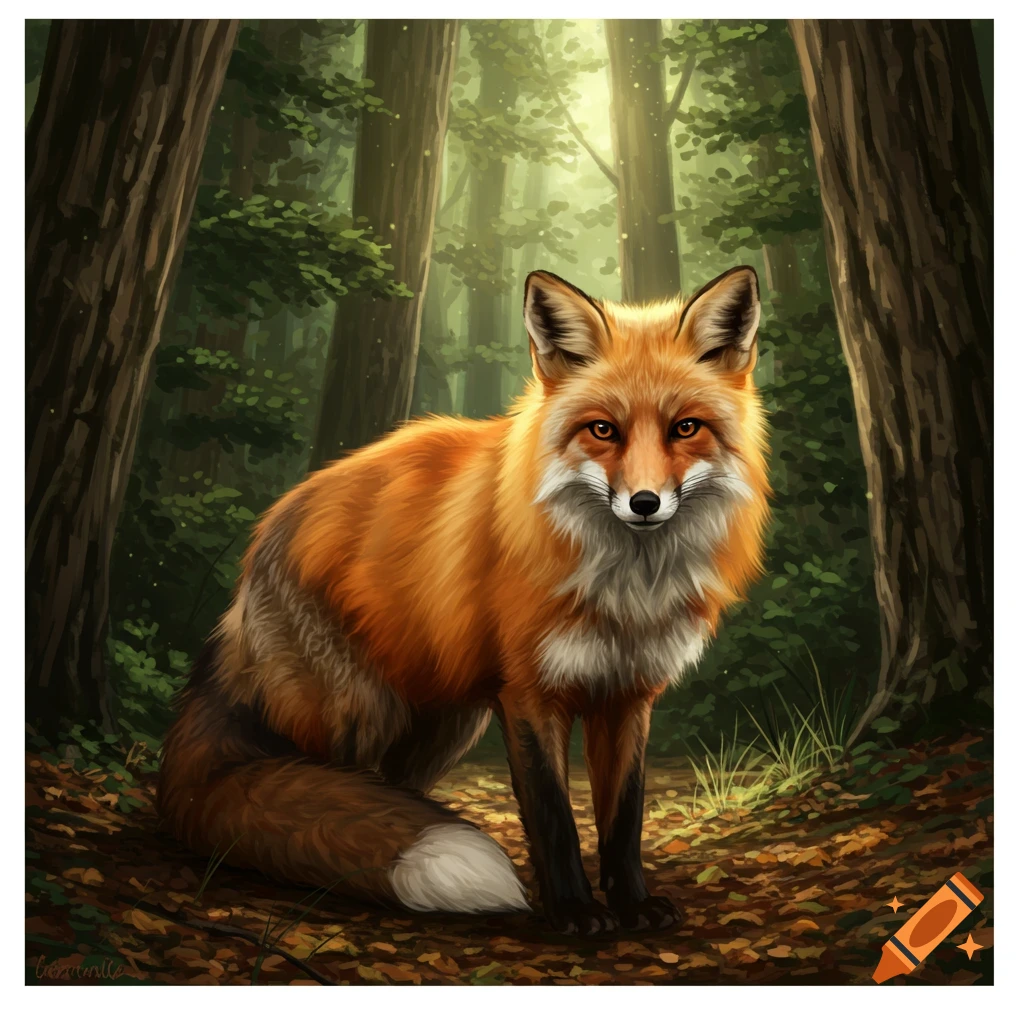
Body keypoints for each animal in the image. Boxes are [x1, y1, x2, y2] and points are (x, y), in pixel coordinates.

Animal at [157, 265, 771, 936]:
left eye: (685, 427)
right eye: (602, 429)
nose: (643, 503)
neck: (625, 593)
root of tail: (256, 553)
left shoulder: (629, 695)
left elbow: (623, 819)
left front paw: (632, 905)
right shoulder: (529, 694)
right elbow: (554, 816)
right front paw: (574, 913)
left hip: (441, 722)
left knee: (386, 791)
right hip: (356, 713)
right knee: (318, 790)